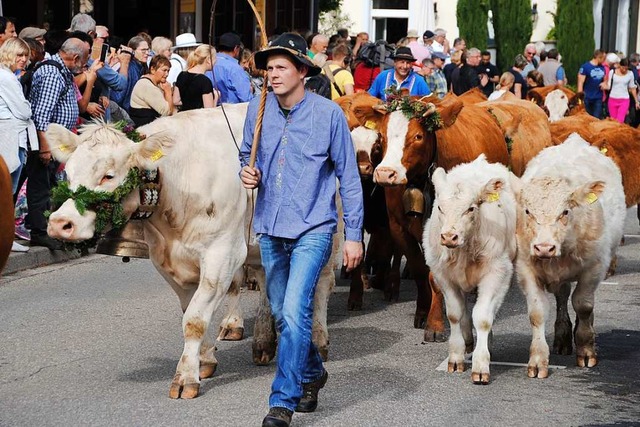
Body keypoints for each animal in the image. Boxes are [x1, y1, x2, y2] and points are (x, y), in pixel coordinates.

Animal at [516, 134, 624, 378]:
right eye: (527, 211)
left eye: (565, 211)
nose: (544, 247)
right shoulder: (526, 268)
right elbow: (537, 313)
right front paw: (538, 360)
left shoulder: (594, 267)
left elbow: (583, 304)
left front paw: (586, 350)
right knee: (562, 296)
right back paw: (563, 336)